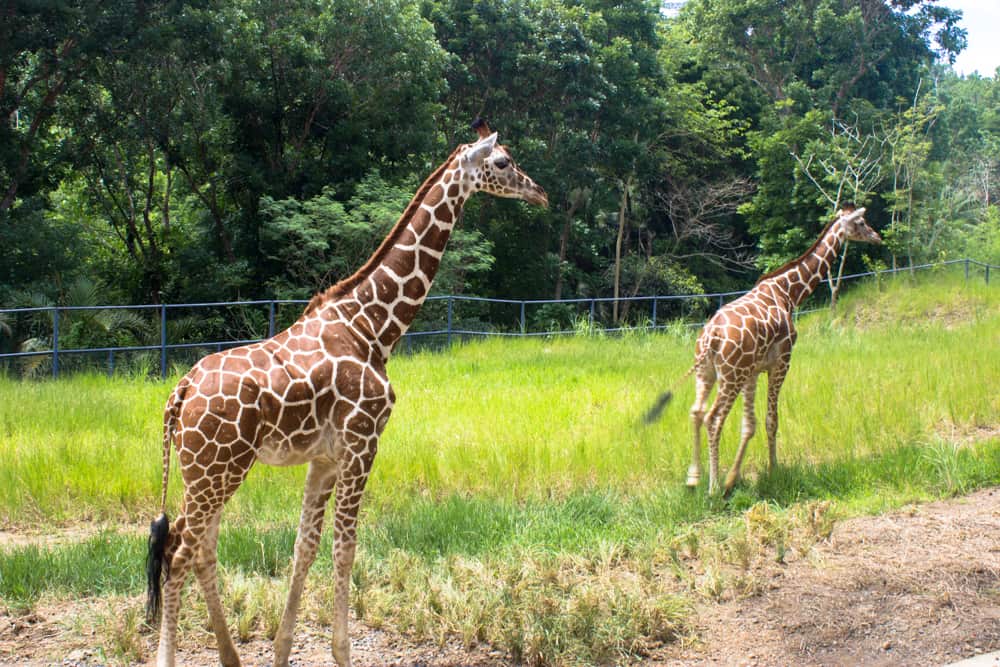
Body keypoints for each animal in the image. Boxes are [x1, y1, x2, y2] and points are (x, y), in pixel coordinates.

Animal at [144, 120, 548, 667]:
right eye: (503, 161)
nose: (540, 193)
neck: (372, 325)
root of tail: (179, 394)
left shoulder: (325, 457)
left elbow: (305, 546)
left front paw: (281, 651)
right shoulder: (363, 442)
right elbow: (345, 545)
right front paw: (342, 652)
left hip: (207, 472)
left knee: (199, 547)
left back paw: (231, 656)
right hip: (216, 470)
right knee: (179, 550)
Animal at [644, 207, 880, 496]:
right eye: (861, 222)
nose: (877, 236)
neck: (789, 291)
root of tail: (711, 338)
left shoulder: (753, 371)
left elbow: (749, 425)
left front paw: (734, 477)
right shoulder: (781, 362)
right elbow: (771, 420)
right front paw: (772, 471)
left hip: (707, 372)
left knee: (696, 412)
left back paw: (694, 479)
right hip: (730, 376)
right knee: (713, 418)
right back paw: (713, 487)